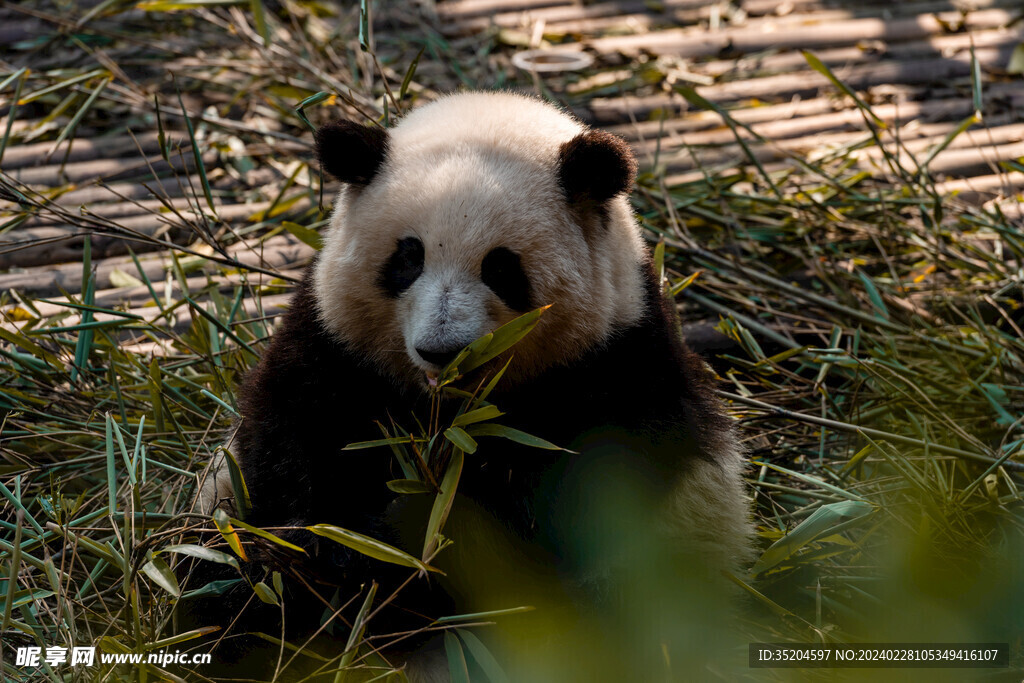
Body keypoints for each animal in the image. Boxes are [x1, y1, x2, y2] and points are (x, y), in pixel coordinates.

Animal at [193, 92, 753, 683]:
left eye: (501, 268)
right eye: (408, 257)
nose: (443, 350)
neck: (452, 407)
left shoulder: (616, 361)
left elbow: (578, 496)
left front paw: (414, 534)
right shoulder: (333, 345)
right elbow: (290, 456)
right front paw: (336, 555)